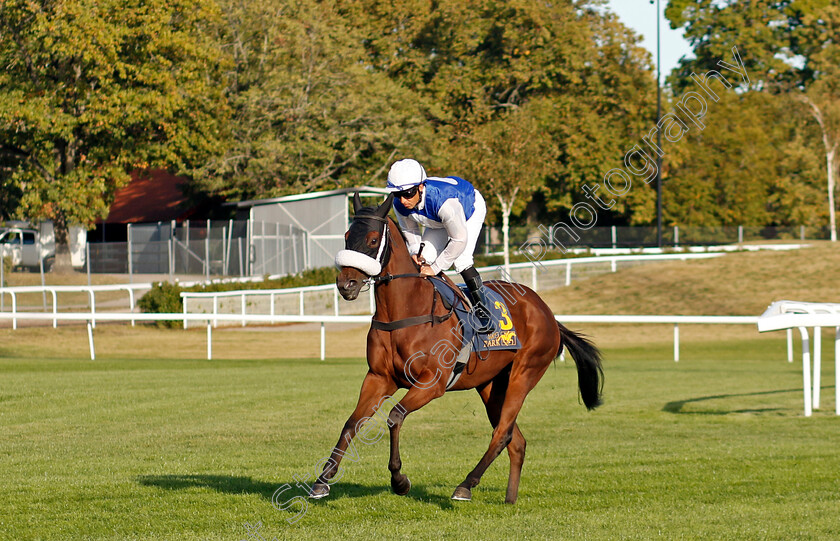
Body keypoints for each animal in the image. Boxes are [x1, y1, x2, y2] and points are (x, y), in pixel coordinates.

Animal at [310, 193, 604, 502]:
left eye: (372, 239)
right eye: (346, 236)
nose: (346, 284)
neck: (405, 312)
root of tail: (547, 313)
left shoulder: (432, 383)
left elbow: (394, 417)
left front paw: (399, 480)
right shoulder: (379, 378)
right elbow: (352, 423)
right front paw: (323, 480)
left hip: (524, 375)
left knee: (502, 433)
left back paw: (465, 485)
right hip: (490, 385)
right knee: (516, 440)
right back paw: (509, 499)